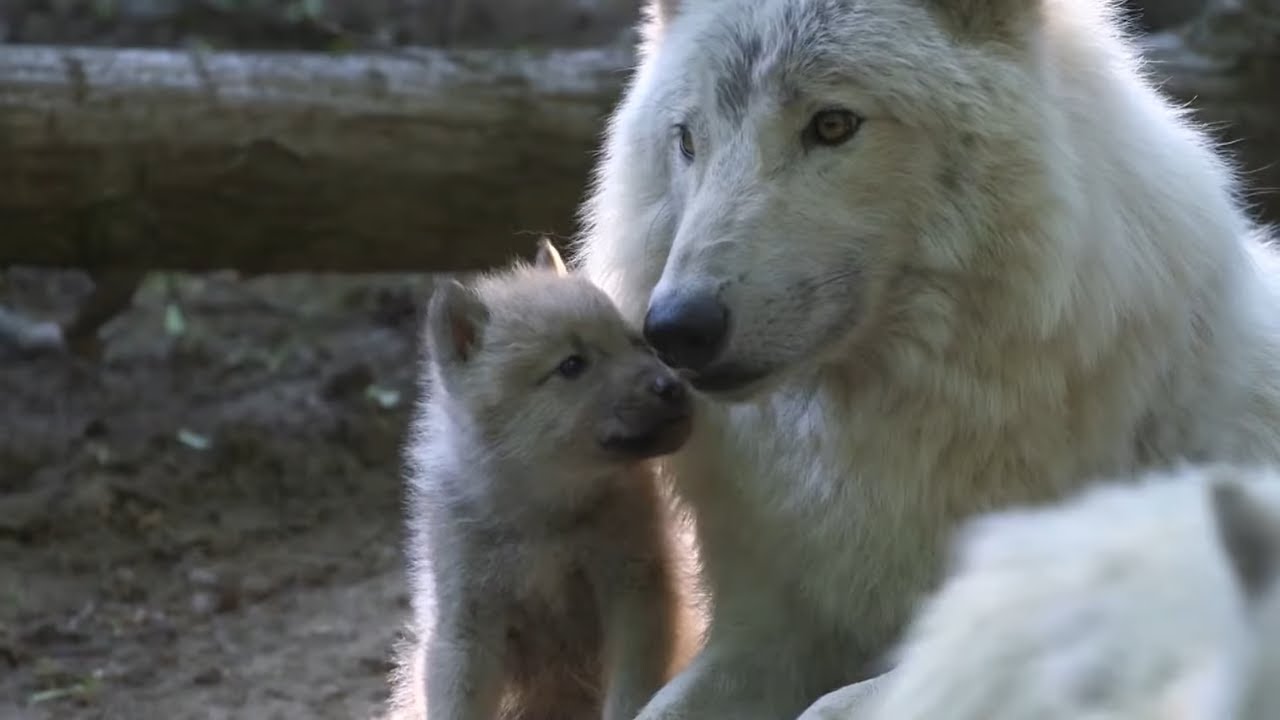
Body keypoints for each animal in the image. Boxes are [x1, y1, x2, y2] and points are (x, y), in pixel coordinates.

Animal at [386, 240, 703, 720]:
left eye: (635, 343)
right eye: (572, 365)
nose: (673, 387)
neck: (543, 518)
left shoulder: (634, 591)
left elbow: (630, 693)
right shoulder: (467, 625)